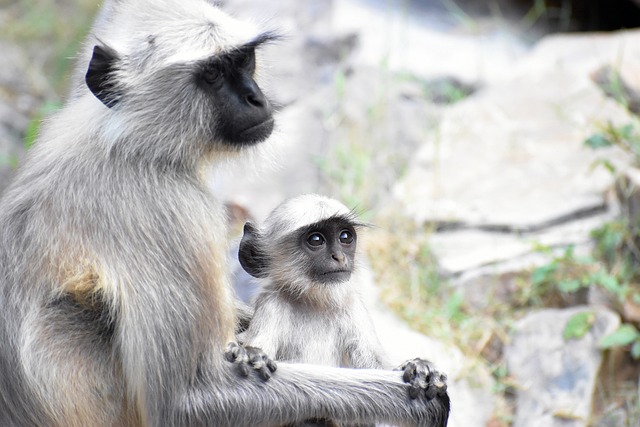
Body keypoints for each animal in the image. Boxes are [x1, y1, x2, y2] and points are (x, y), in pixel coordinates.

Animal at [239, 195, 450, 427]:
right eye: (316, 239)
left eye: (345, 236)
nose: (339, 257)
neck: (314, 303)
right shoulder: (271, 303)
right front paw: (251, 356)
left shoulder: (352, 306)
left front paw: (419, 369)